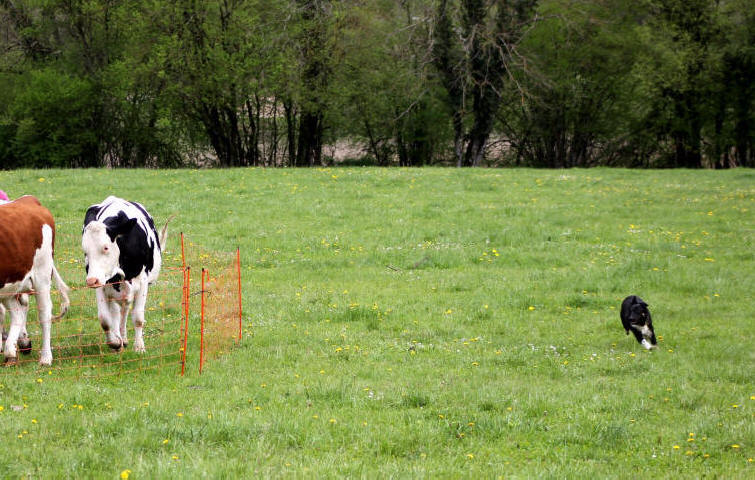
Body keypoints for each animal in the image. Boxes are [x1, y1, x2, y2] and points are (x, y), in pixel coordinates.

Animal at [0, 195, 70, 364]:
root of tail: (28, 199)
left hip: (41, 275)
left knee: (44, 313)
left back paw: (45, 357)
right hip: (11, 283)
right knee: (17, 312)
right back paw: (11, 351)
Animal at [82, 196, 172, 352]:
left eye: (106, 247)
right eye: (85, 251)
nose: (91, 281)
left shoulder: (142, 282)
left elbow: (138, 318)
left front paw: (139, 347)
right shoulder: (102, 283)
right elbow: (104, 319)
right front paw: (114, 343)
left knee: (124, 310)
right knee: (117, 312)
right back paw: (120, 338)